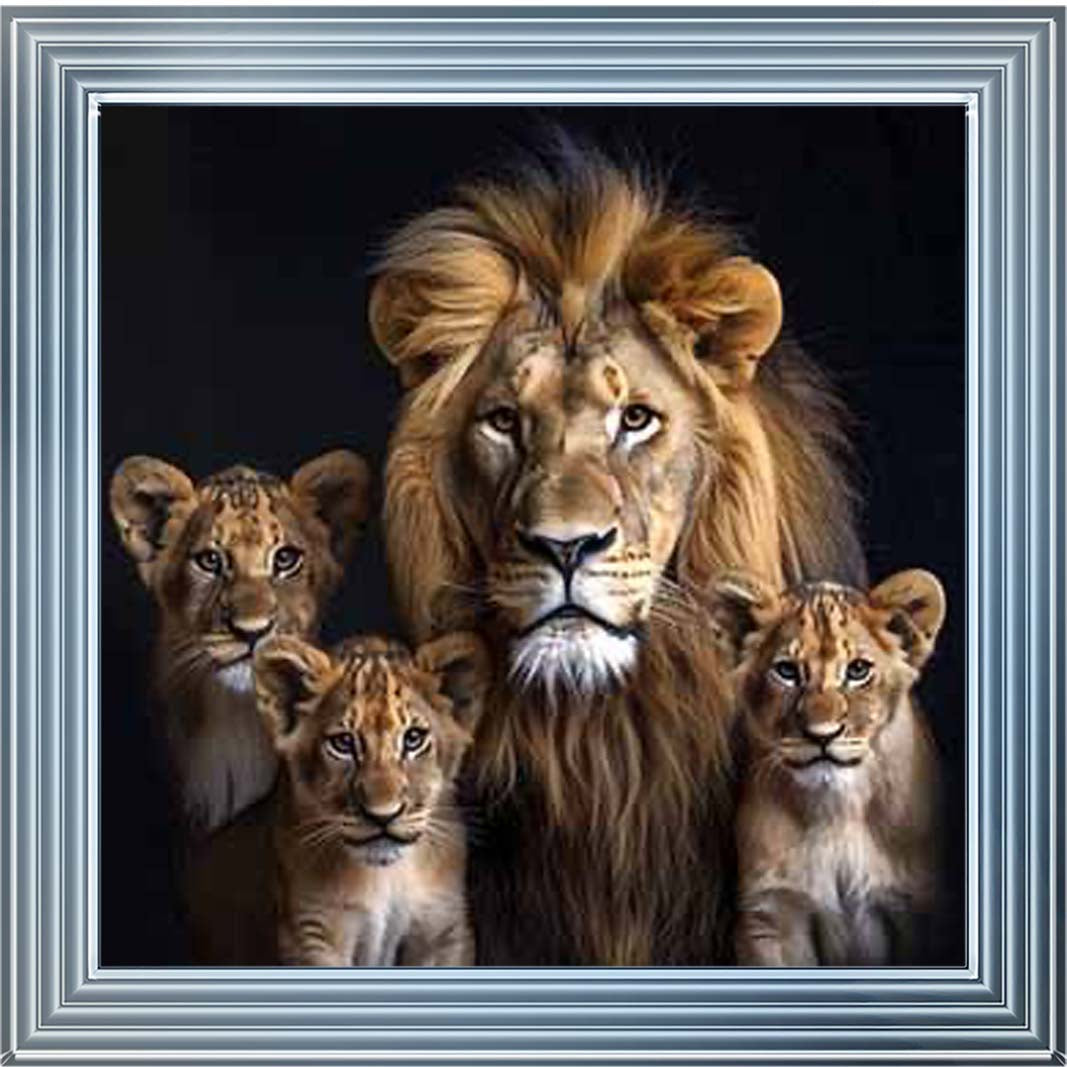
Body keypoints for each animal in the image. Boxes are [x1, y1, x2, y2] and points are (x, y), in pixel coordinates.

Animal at [710, 569, 946, 965]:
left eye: (858, 670)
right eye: (786, 671)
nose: (822, 735)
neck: (837, 808)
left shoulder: (918, 908)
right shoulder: (772, 916)